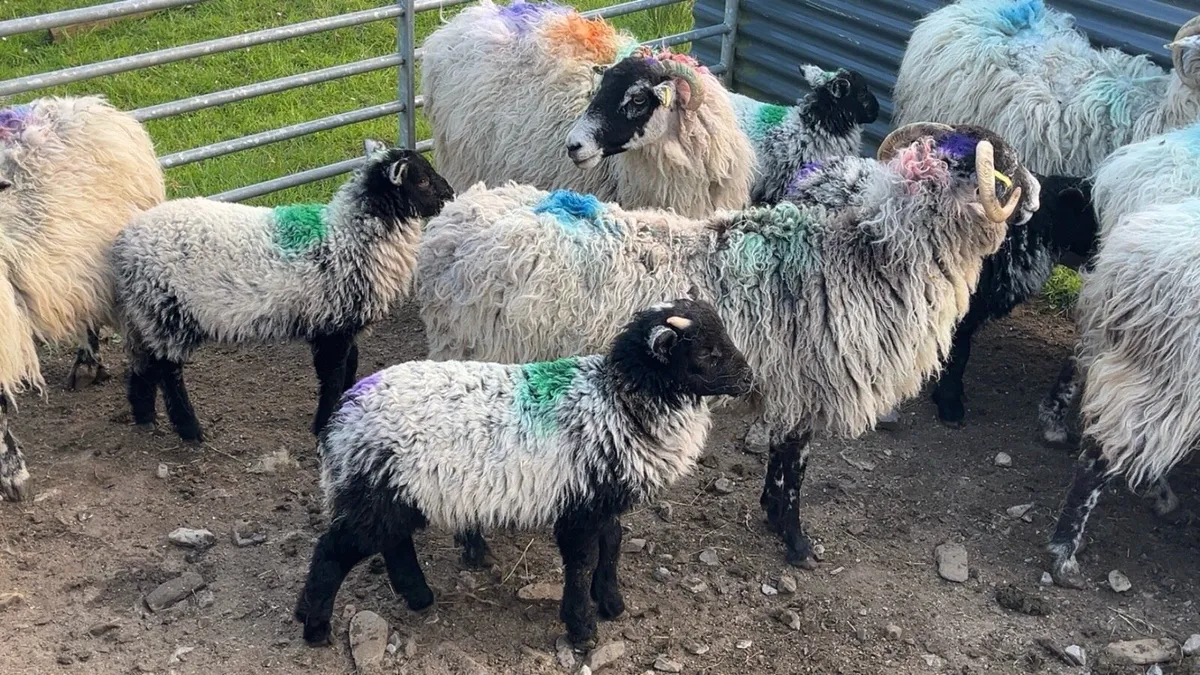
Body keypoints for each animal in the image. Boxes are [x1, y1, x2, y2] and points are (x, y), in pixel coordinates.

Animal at [110, 141, 454, 443]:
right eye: (422, 180)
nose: (450, 194)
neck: (349, 235)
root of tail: (126, 242)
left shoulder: (342, 321)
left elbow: (351, 365)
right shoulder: (331, 324)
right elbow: (333, 374)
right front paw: (324, 423)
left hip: (146, 313)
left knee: (144, 361)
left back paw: (143, 415)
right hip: (168, 310)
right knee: (168, 371)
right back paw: (189, 429)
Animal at [294, 298, 754, 646]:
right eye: (706, 353)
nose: (749, 380)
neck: (617, 401)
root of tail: (344, 415)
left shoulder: (601, 498)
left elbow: (612, 546)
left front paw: (611, 603)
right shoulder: (580, 506)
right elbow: (583, 561)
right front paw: (582, 630)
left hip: (399, 493)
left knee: (394, 542)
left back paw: (418, 596)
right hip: (375, 491)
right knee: (333, 551)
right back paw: (315, 628)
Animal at [417, 122, 1037, 569]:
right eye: (1005, 171)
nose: (1036, 199)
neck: (871, 252)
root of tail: (449, 230)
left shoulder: (789, 385)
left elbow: (783, 463)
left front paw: (772, 518)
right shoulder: (804, 385)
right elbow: (793, 467)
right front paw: (796, 543)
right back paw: (475, 551)